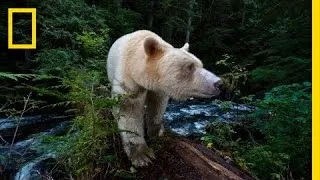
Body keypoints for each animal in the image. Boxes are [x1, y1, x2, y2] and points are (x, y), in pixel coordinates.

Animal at [107, 30, 222, 167]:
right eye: (190, 66)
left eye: (200, 64)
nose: (219, 83)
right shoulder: (129, 79)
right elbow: (129, 110)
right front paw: (142, 155)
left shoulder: (159, 89)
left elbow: (157, 107)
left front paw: (156, 132)